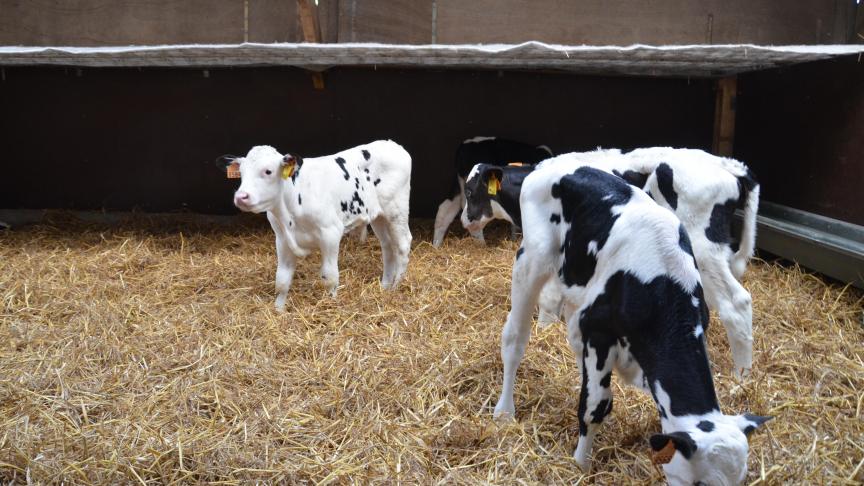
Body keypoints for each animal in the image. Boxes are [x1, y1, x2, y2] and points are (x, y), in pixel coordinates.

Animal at [226, 139, 412, 310]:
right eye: (241, 172)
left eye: (268, 171)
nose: (241, 197)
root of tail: (392, 144)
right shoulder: (282, 239)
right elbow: (282, 279)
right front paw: (278, 310)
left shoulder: (331, 233)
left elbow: (330, 277)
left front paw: (331, 304)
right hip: (379, 215)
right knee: (387, 246)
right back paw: (385, 285)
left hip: (397, 209)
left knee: (403, 244)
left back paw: (396, 286)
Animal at [492, 165, 768, 484]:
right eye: (698, 482)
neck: (660, 284)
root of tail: (546, 167)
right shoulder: (599, 333)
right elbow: (596, 404)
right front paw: (580, 465)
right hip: (531, 260)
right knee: (514, 338)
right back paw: (504, 411)